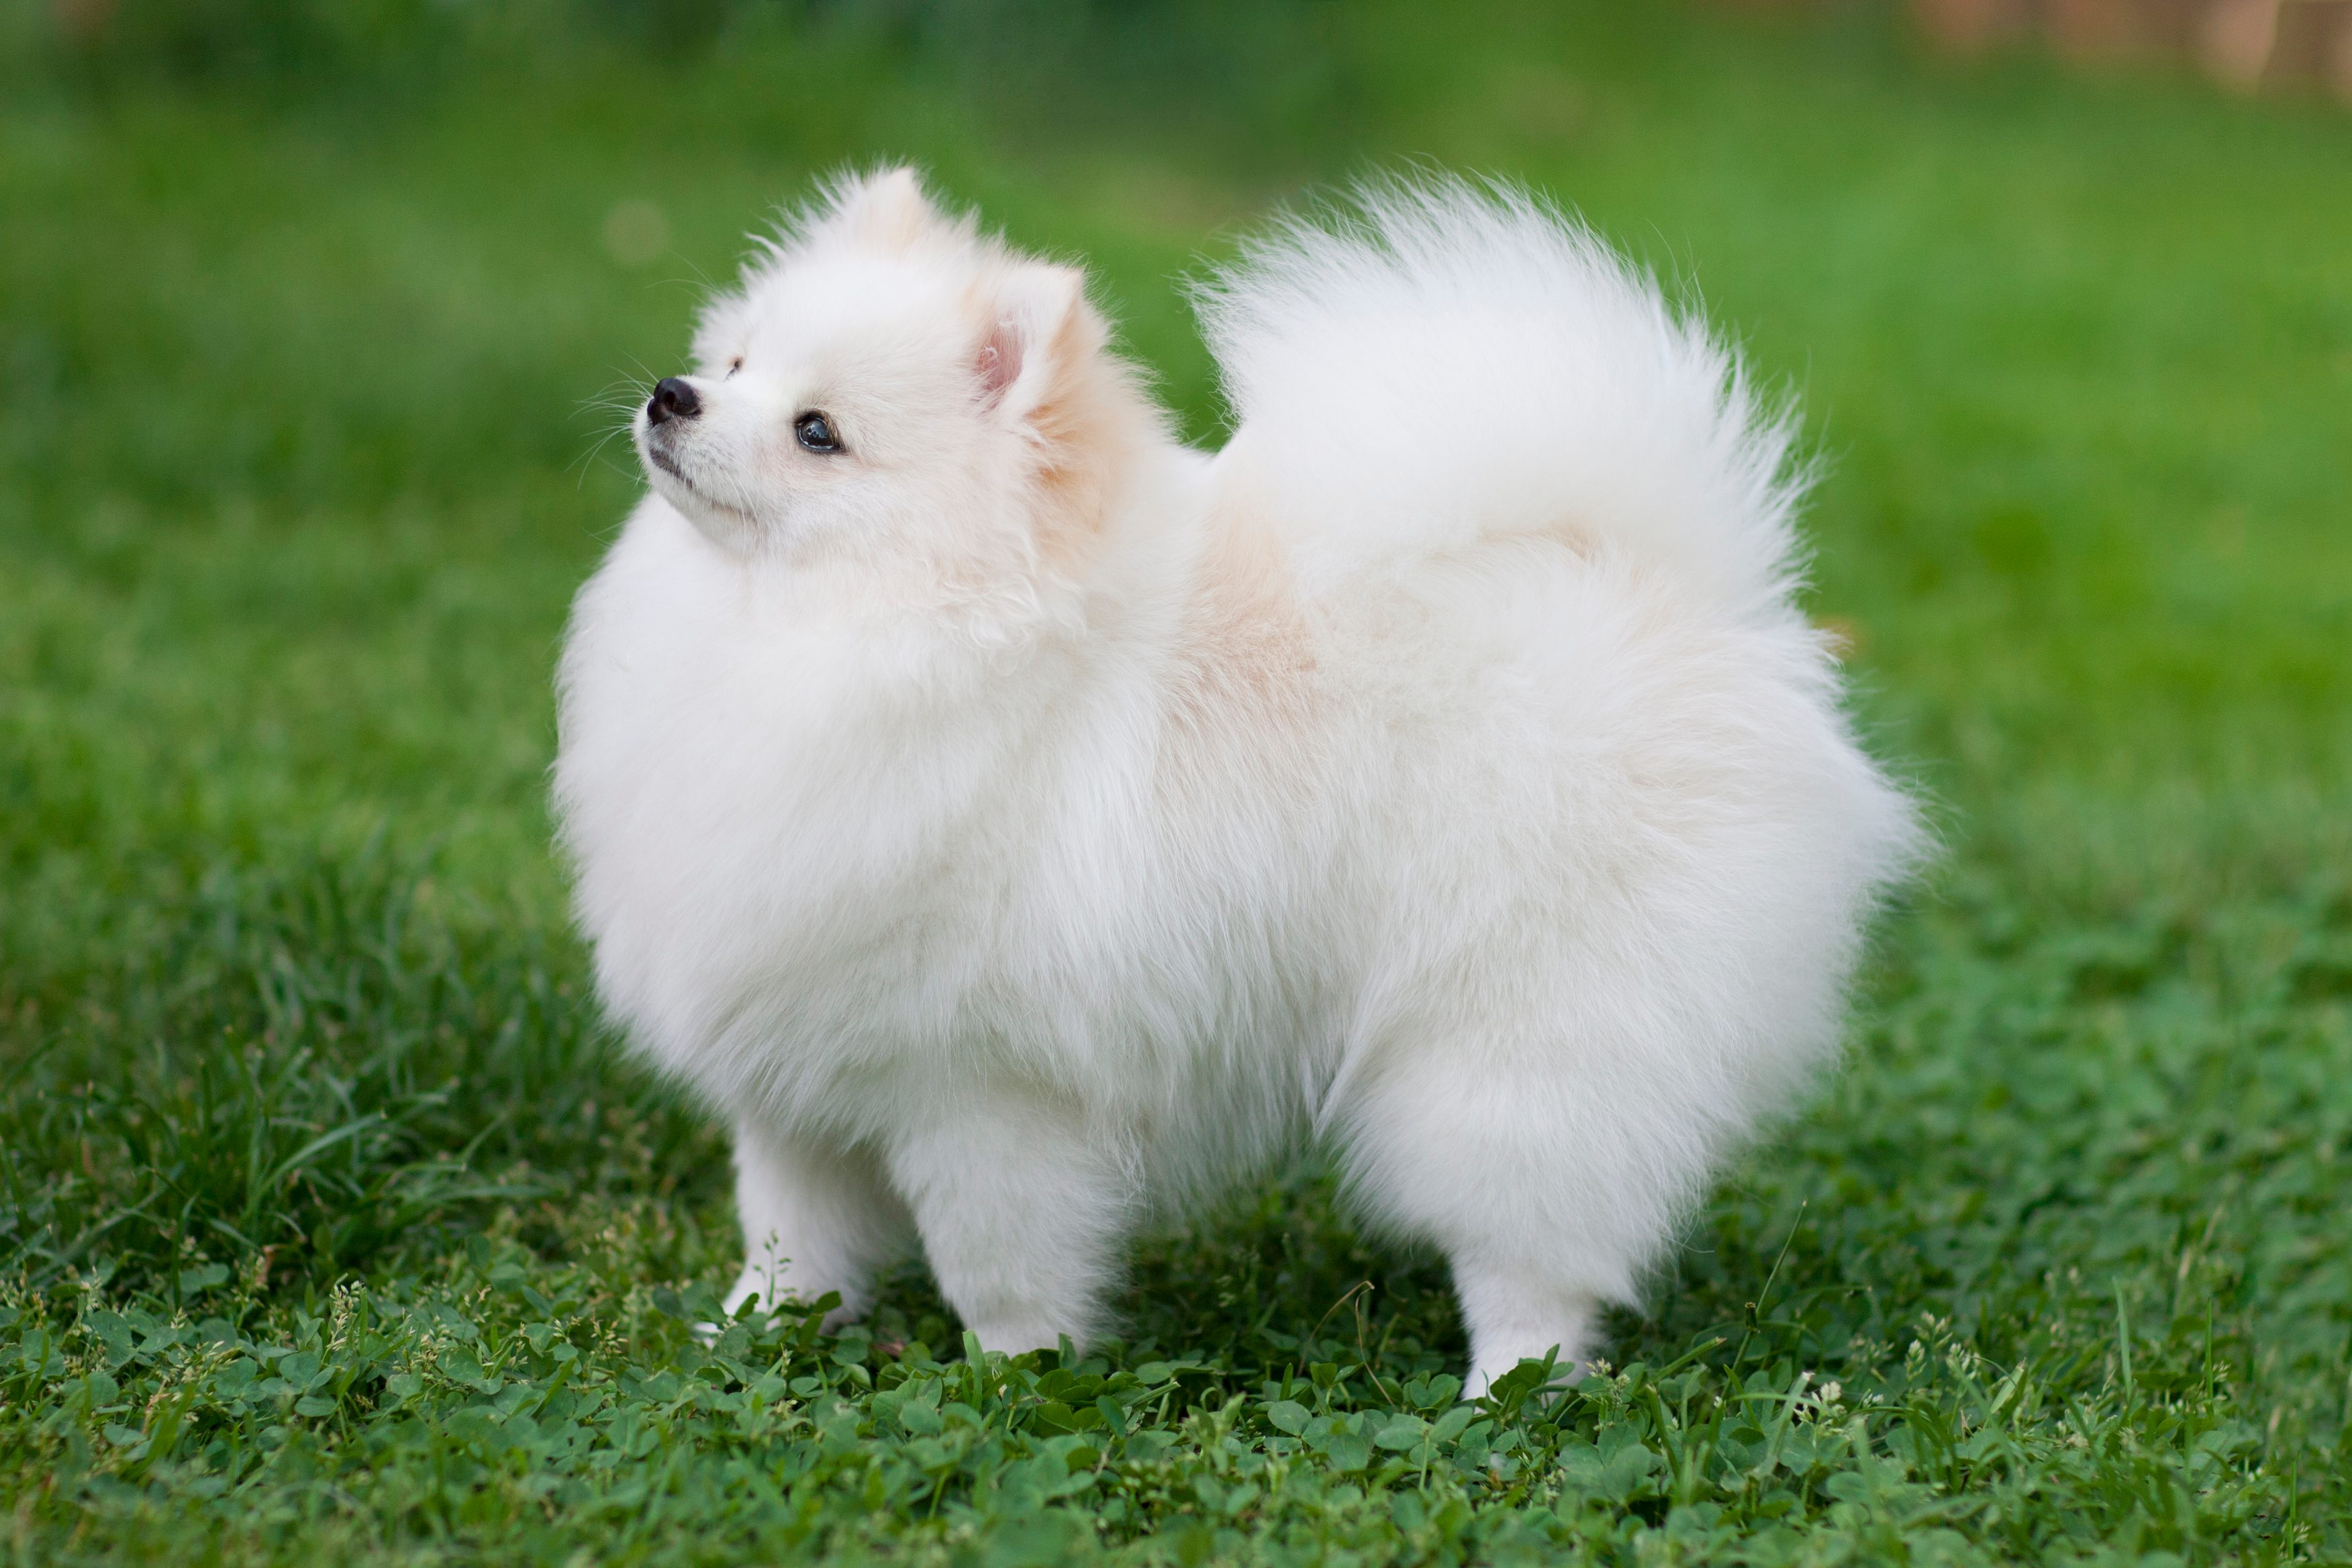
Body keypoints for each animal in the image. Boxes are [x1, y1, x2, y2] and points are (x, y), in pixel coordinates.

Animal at [559, 165, 1919, 1382]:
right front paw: (751, 1334)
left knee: (1530, 1249)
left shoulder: (986, 1090)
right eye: (739, 365)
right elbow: (792, 1236)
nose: (673, 396)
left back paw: (1504, 1393)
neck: (859, 635)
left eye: (818, 433)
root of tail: (1681, 596)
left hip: (1510, 1047)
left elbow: (999, 1265)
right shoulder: (798, 1068)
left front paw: (1013, 1376)